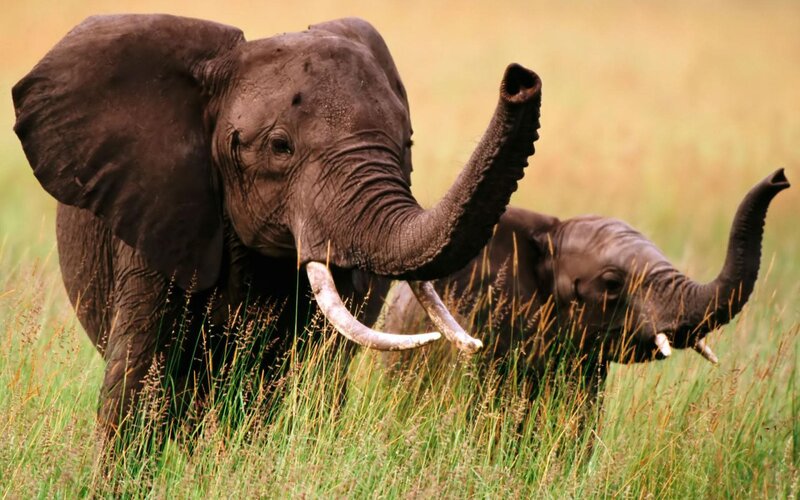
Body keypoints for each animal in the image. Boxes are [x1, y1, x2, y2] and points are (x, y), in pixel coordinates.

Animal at [12, 14, 543, 437]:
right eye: (280, 147)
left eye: (406, 142)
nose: (520, 79)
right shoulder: (158, 212)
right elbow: (139, 382)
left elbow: (310, 376)